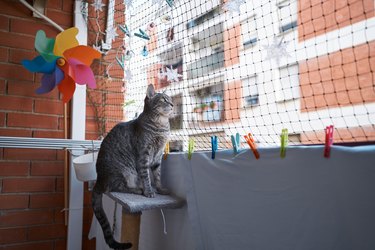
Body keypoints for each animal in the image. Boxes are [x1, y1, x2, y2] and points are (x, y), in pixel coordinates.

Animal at [92, 85, 174, 249]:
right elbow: (146, 177)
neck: (161, 126)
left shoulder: (158, 157)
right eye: (164, 100)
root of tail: (99, 179)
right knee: (116, 188)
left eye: (170, 99)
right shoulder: (144, 155)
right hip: (124, 171)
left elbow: (157, 176)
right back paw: (138, 189)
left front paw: (161, 189)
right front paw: (149, 191)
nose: (173, 104)